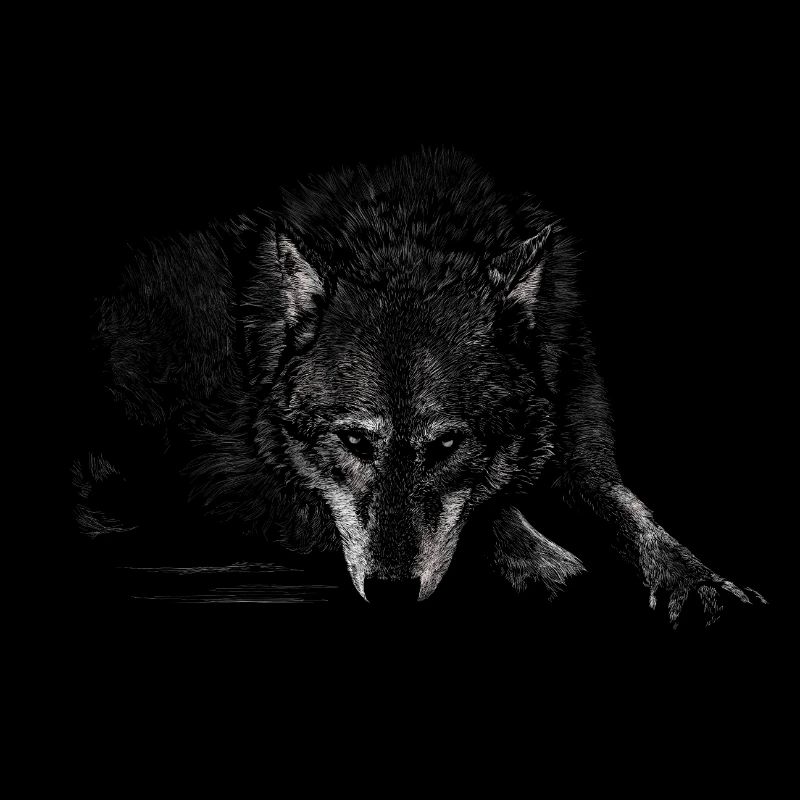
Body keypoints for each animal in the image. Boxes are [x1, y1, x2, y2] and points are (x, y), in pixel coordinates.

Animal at [73, 148, 765, 623]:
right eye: (354, 442)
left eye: (447, 446)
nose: (390, 593)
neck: (408, 235)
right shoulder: (225, 474)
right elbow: (492, 512)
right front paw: (545, 561)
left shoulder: (585, 459)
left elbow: (636, 516)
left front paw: (699, 580)